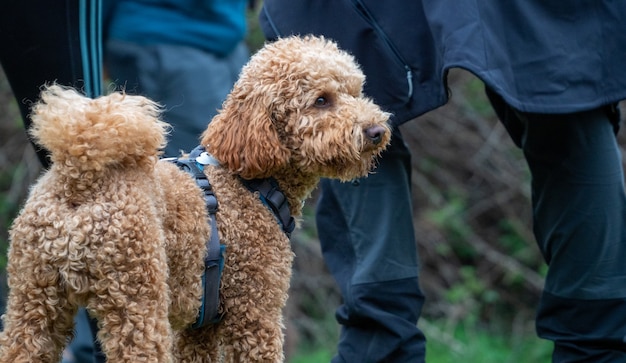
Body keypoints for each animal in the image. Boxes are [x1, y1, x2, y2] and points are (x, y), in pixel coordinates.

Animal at [0, 34, 390, 363]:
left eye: (357, 91)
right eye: (322, 100)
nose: (377, 131)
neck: (249, 181)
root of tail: (79, 181)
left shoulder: (197, 328)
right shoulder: (255, 313)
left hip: (33, 301)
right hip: (137, 302)